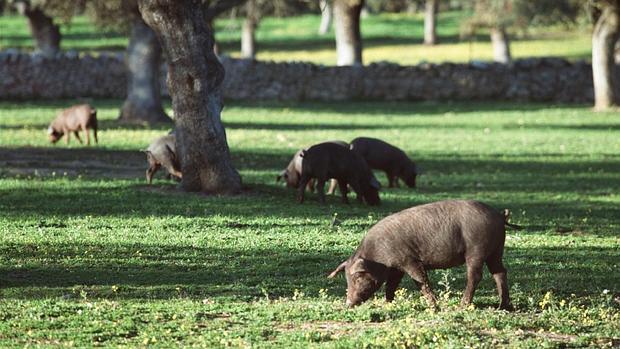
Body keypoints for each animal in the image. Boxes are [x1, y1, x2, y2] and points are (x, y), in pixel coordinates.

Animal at [326, 200, 520, 308]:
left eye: (357, 277)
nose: (348, 304)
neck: (377, 256)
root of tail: (498, 215)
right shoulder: (396, 267)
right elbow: (391, 285)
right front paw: (388, 304)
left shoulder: (409, 260)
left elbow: (421, 281)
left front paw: (435, 307)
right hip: (496, 250)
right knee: (500, 272)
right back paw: (503, 306)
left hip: (476, 250)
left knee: (475, 276)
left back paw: (463, 305)